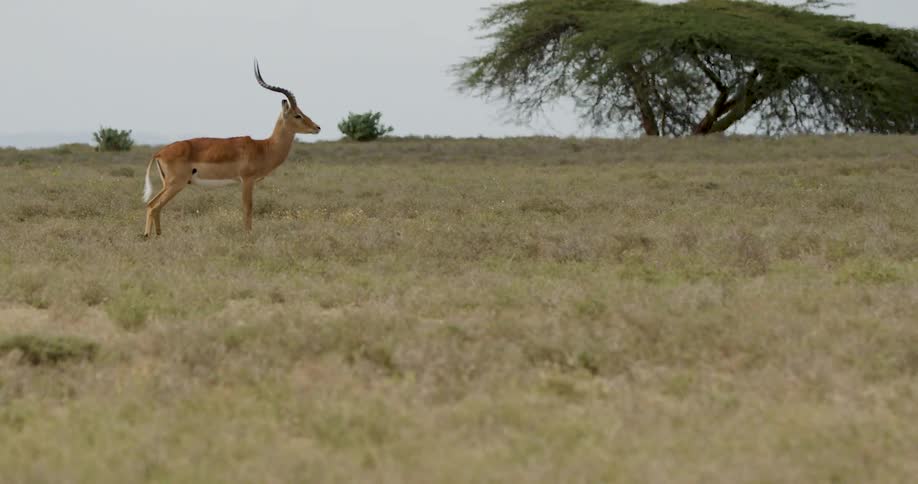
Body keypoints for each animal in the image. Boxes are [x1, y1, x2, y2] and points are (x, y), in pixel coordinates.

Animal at [142, 60, 321, 236]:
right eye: (297, 115)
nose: (317, 127)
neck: (263, 148)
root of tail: (159, 153)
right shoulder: (247, 180)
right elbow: (248, 208)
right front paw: (248, 235)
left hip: (168, 184)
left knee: (152, 205)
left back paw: (156, 235)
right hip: (175, 184)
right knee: (153, 206)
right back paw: (148, 237)